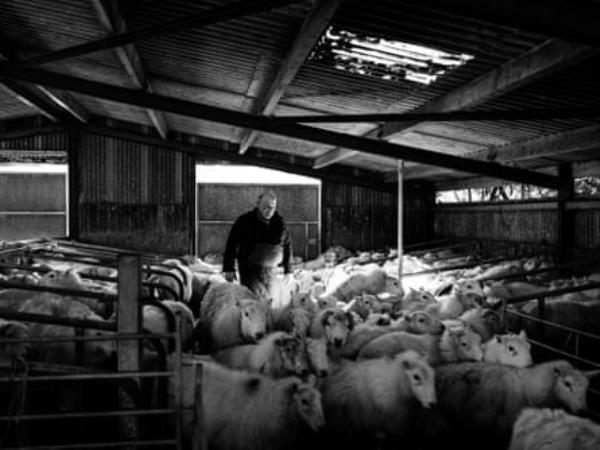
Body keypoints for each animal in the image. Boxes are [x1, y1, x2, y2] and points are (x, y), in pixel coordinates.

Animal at [420, 360, 596, 450]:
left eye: (587, 387)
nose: (583, 410)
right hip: (434, 424)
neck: (529, 388)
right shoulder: (505, 428)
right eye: (567, 383)